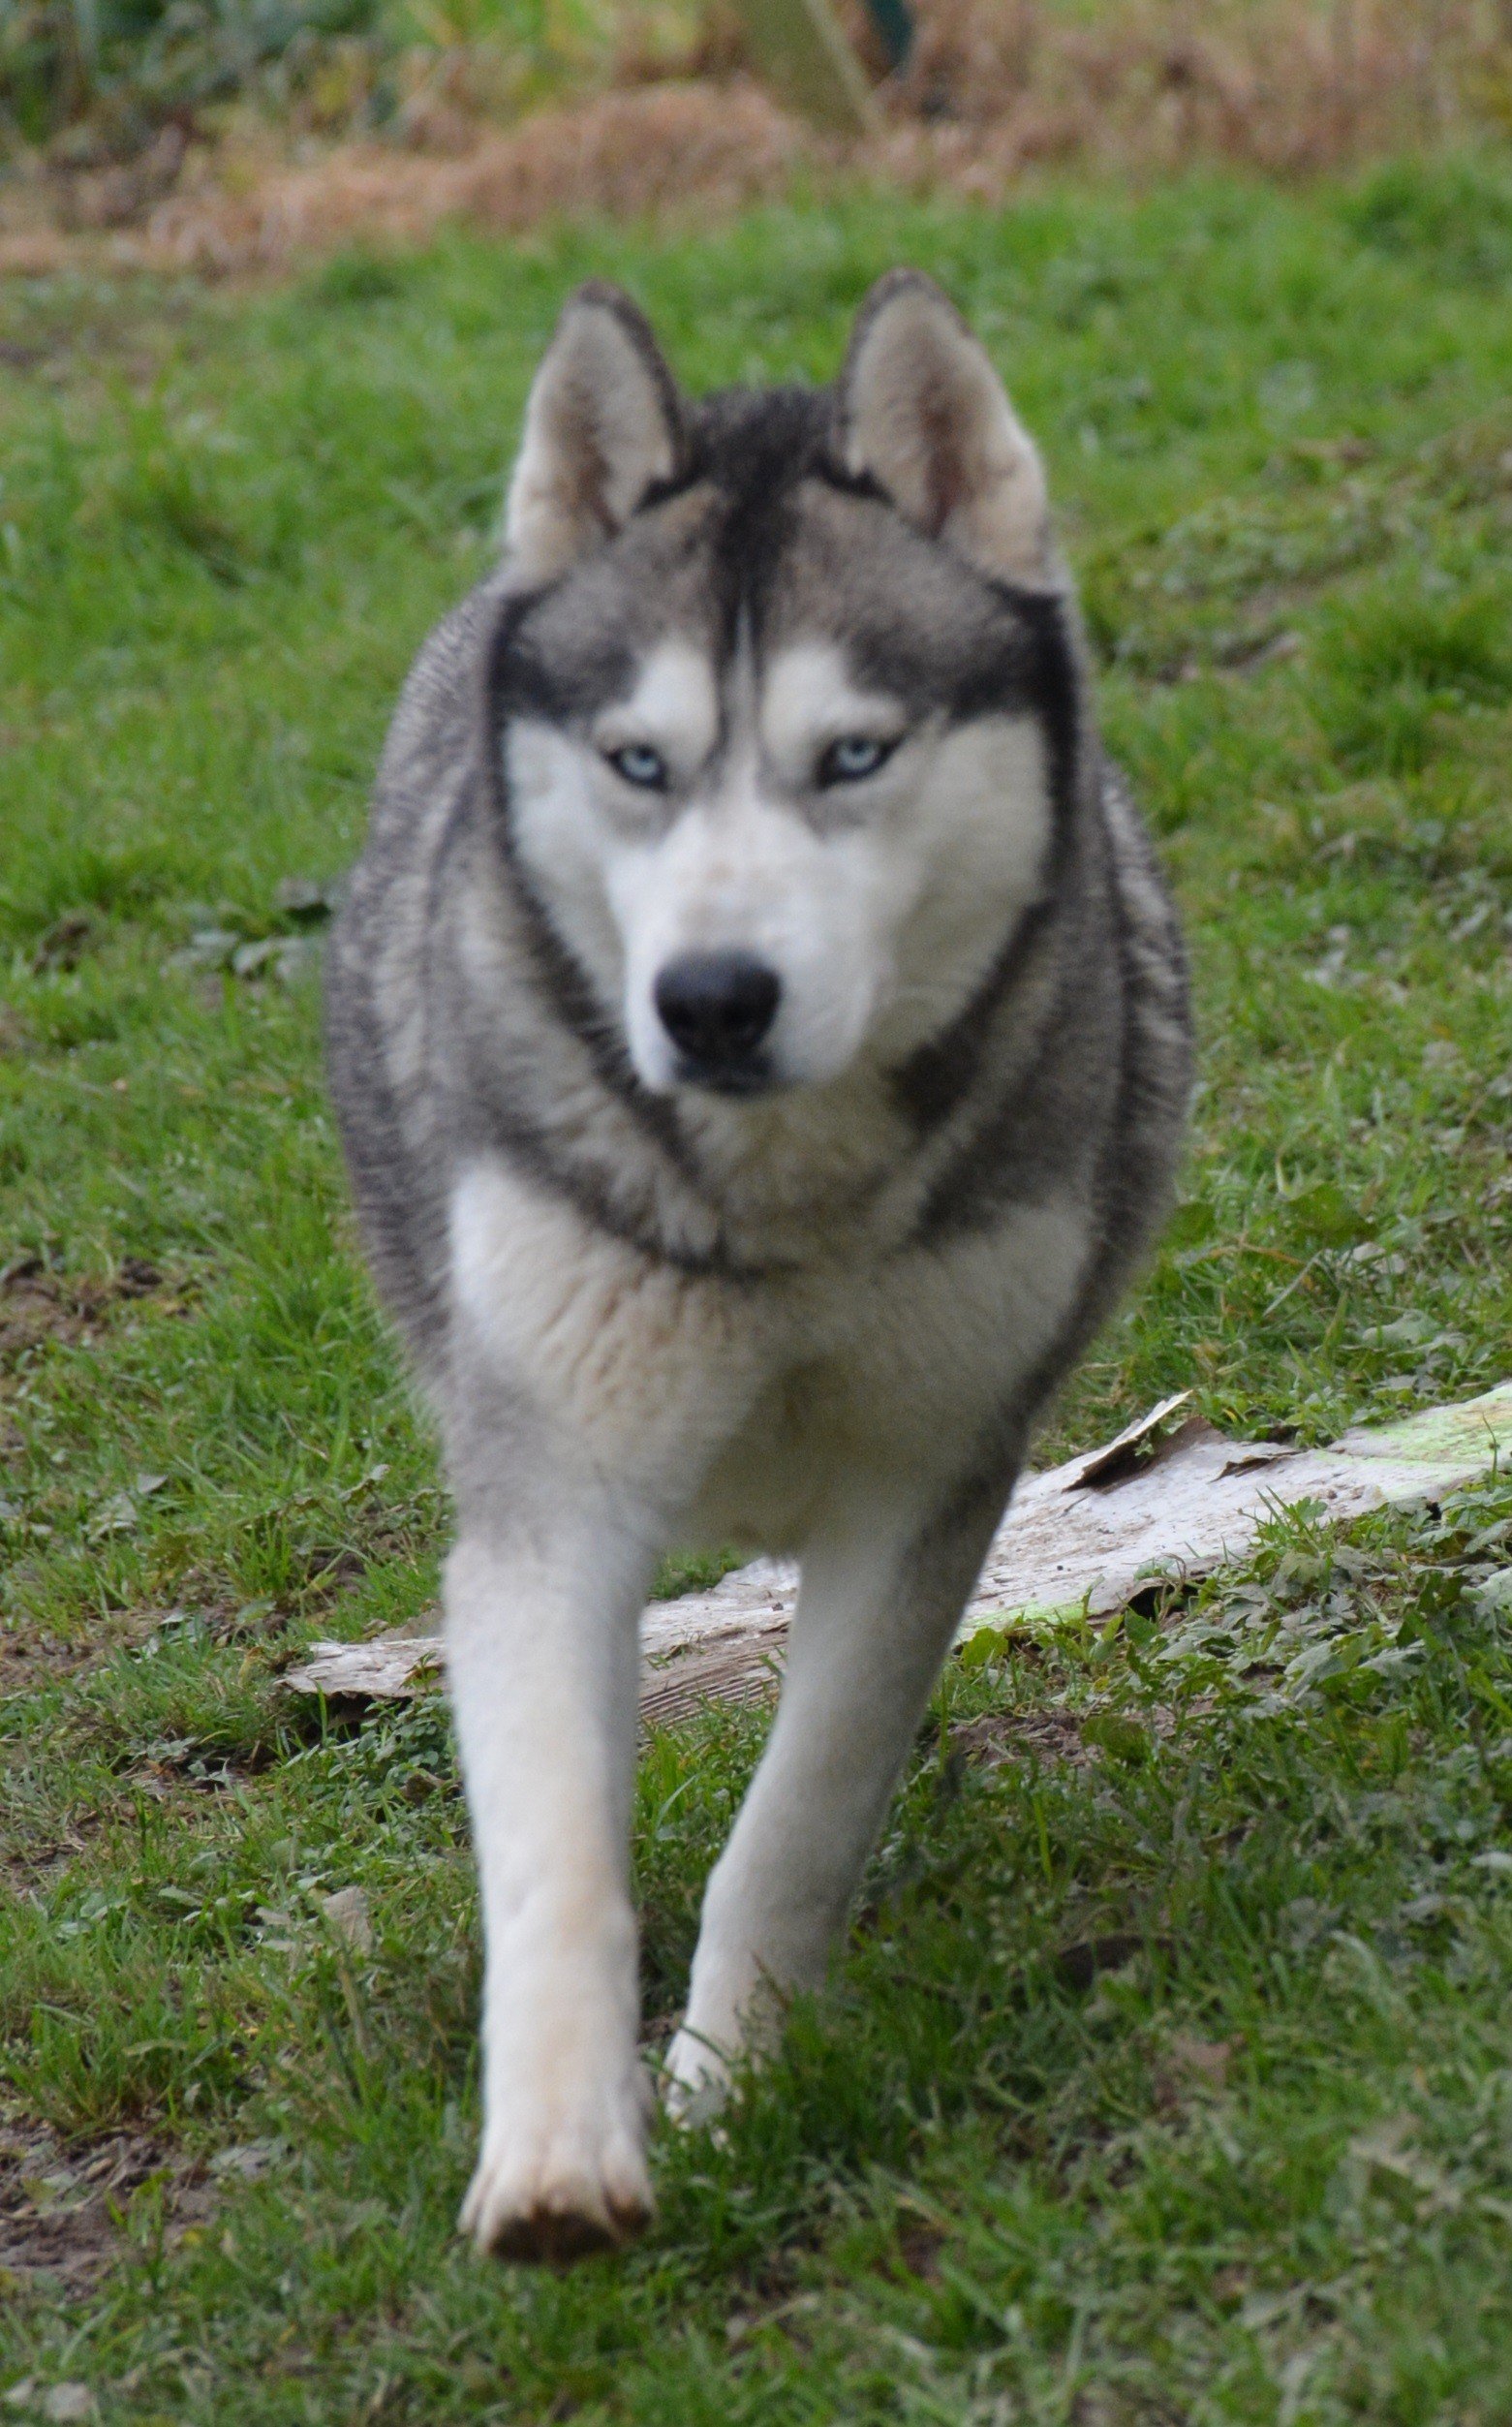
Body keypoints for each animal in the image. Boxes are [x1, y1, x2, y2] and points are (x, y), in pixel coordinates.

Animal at [327, 275, 1193, 2261]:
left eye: (852, 755)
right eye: (640, 763)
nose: (710, 1001)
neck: (783, 1224)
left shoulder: (931, 1487)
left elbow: (798, 1817)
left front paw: (730, 2088)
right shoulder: (551, 1500)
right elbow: (559, 1858)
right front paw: (560, 2153)